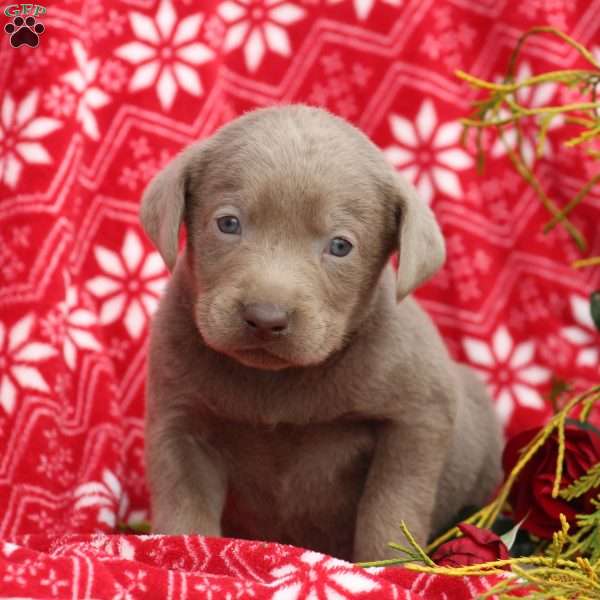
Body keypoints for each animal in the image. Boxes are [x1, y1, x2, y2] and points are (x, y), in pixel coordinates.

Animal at [141, 104, 502, 564]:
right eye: (228, 223)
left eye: (340, 246)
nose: (265, 317)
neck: (276, 382)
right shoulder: (180, 421)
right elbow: (184, 507)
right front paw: (182, 553)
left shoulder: (420, 418)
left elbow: (391, 506)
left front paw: (387, 566)